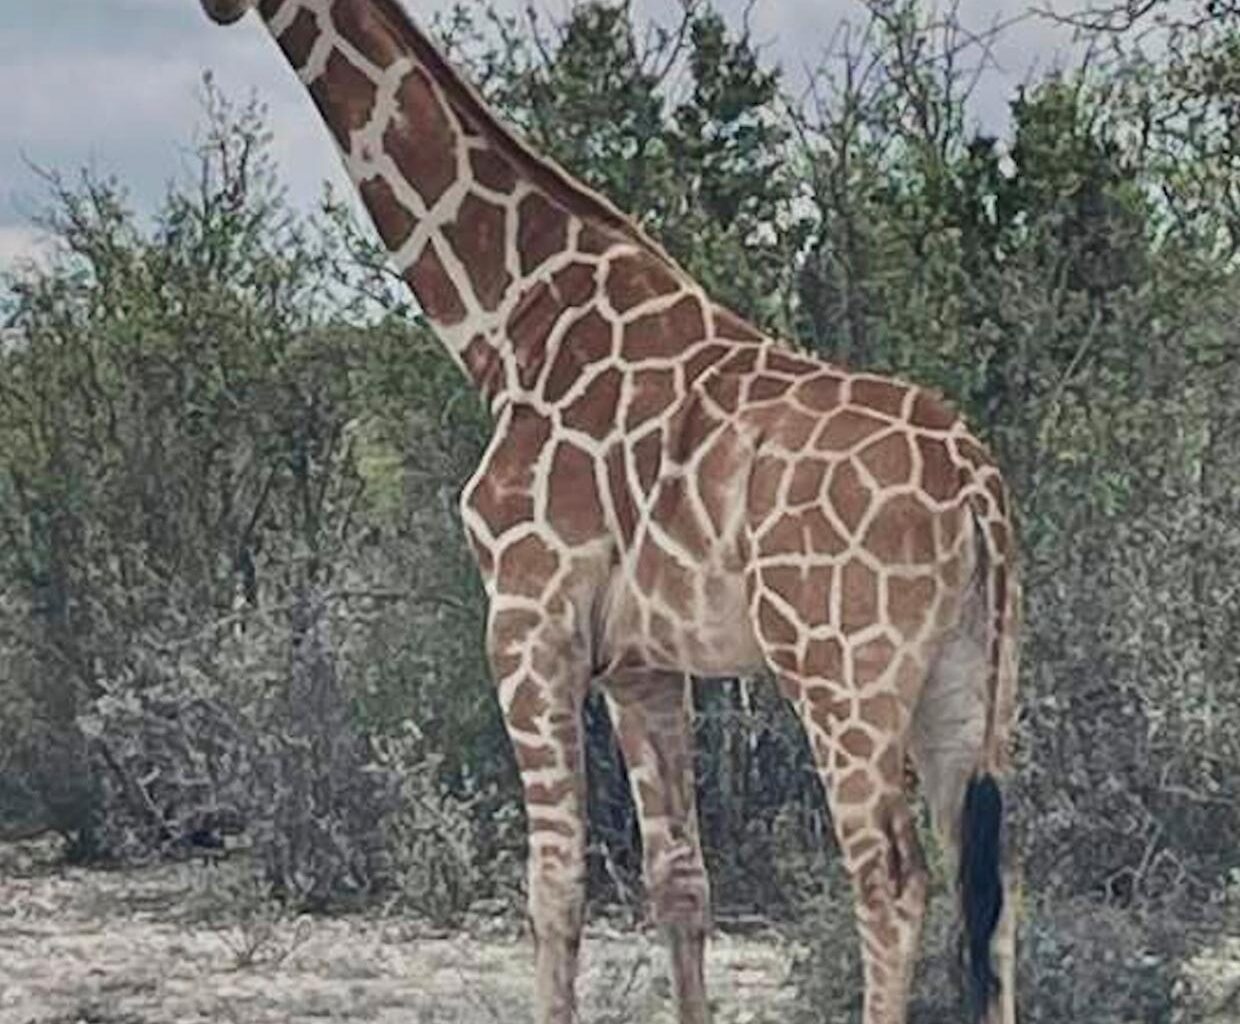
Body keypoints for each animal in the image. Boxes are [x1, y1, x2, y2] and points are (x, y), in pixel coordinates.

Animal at [197, 2, 1021, 1022]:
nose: (217, 10)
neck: (512, 322)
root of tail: (978, 488)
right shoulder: (643, 666)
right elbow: (681, 883)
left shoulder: (526, 625)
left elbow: (553, 889)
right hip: (971, 681)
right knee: (994, 888)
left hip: (844, 677)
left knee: (893, 883)